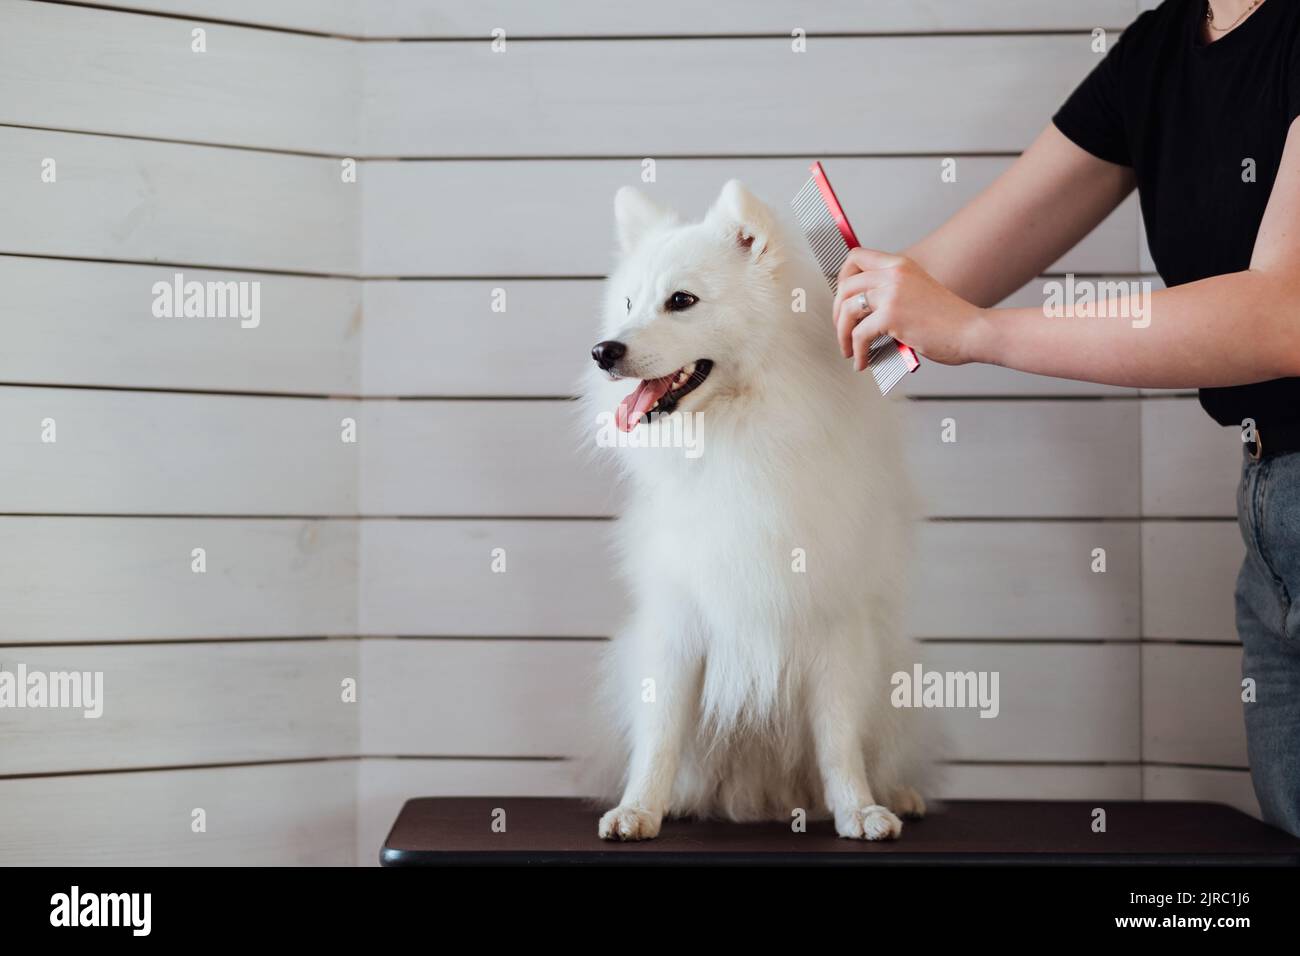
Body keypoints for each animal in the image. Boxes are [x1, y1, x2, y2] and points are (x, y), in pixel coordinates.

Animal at [585, 183, 930, 842]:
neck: (737, 436)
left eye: (682, 301)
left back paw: (898, 793)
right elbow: (660, 733)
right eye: (628, 302)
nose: (602, 351)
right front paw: (640, 809)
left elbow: (840, 739)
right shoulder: (676, 621)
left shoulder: (835, 619)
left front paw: (857, 810)